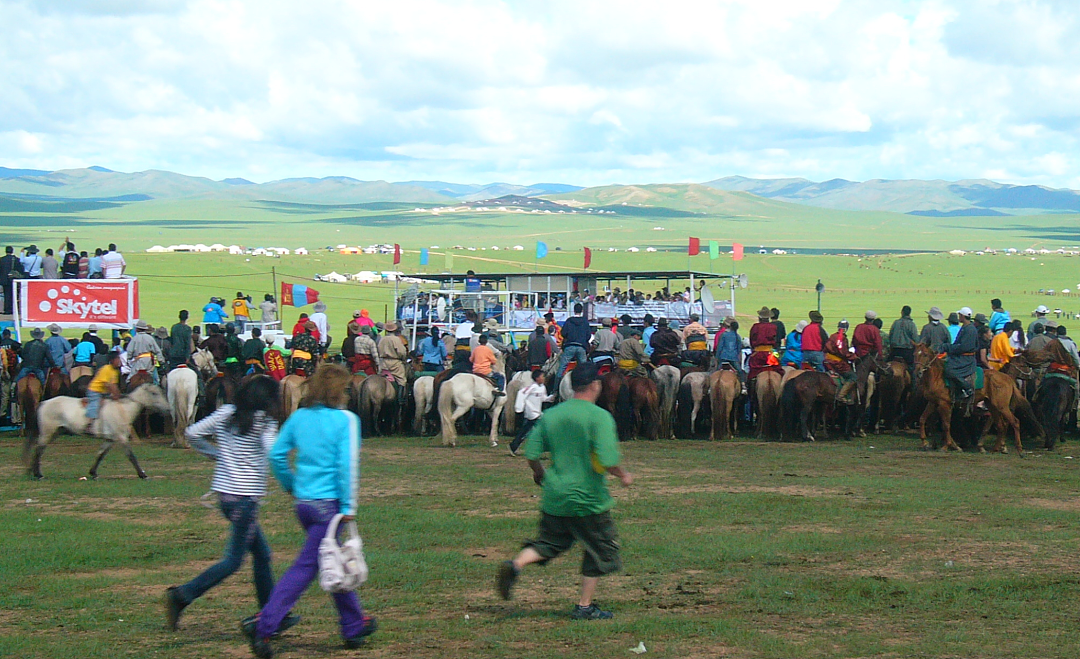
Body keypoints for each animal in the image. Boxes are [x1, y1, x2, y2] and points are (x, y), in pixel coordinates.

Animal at [26, 382, 170, 479]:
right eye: (154, 393)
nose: (168, 409)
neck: (123, 410)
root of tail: (44, 403)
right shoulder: (122, 438)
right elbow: (131, 456)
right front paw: (142, 474)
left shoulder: (110, 439)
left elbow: (100, 454)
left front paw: (93, 473)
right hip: (47, 432)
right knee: (38, 450)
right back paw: (38, 474)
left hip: (55, 432)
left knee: (40, 450)